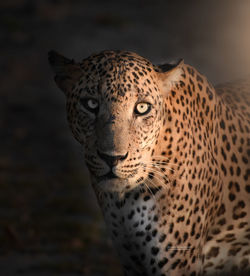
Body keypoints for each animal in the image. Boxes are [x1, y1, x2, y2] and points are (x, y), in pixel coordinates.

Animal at [48, 50, 250, 276]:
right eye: (91, 104)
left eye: (142, 108)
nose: (112, 157)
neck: (124, 203)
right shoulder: (131, 260)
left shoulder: (177, 264)